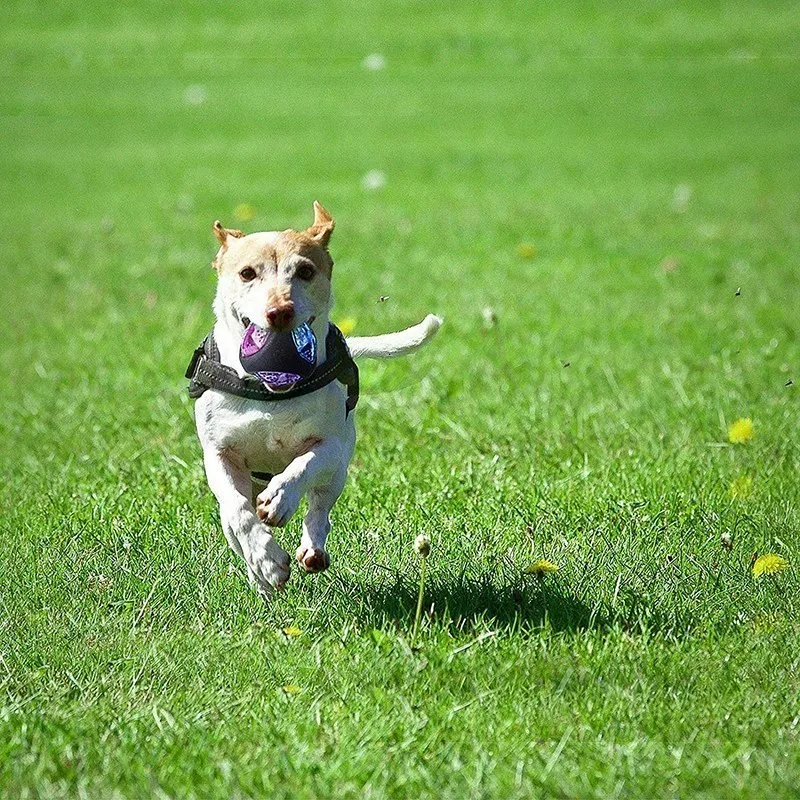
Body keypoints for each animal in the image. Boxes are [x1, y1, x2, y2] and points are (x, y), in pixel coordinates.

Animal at [195, 203, 444, 596]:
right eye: (247, 273)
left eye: (305, 271)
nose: (279, 311)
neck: (271, 391)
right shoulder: (219, 454)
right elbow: (239, 512)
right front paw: (267, 561)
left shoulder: (331, 445)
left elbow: (305, 465)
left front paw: (280, 499)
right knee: (235, 525)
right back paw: (261, 580)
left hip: (337, 474)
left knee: (319, 508)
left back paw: (312, 548)